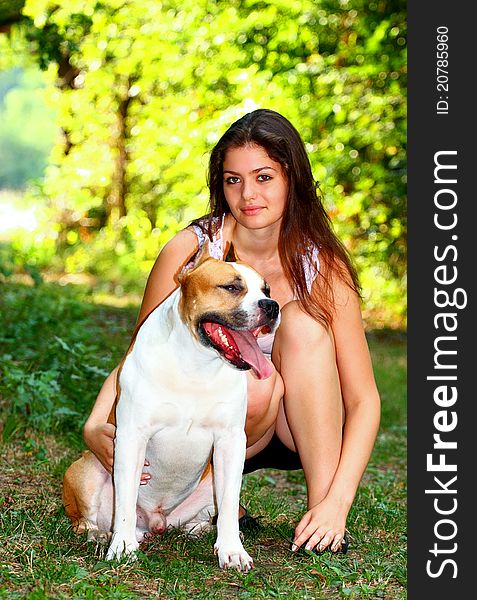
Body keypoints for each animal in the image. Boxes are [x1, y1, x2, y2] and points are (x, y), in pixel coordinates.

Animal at [62, 247, 278, 572]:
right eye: (231, 287)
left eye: (266, 290)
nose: (272, 306)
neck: (197, 363)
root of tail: (155, 521)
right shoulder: (131, 438)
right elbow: (125, 503)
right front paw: (122, 547)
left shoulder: (230, 443)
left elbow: (228, 504)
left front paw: (232, 550)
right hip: (86, 467)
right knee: (85, 519)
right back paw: (99, 534)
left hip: (209, 480)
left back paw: (199, 529)